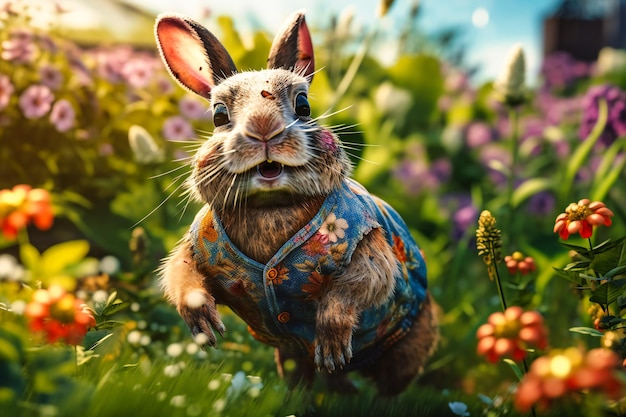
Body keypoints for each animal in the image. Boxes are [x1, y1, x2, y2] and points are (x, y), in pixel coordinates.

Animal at [155, 8, 436, 394]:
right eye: (218, 115)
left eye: (303, 105)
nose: (263, 128)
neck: (271, 204)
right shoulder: (198, 248)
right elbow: (182, 275)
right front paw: (206, 328)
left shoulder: (365, 246)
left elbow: (357, 286)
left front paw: (332, 348)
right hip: (288, 354)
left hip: (406, 346)